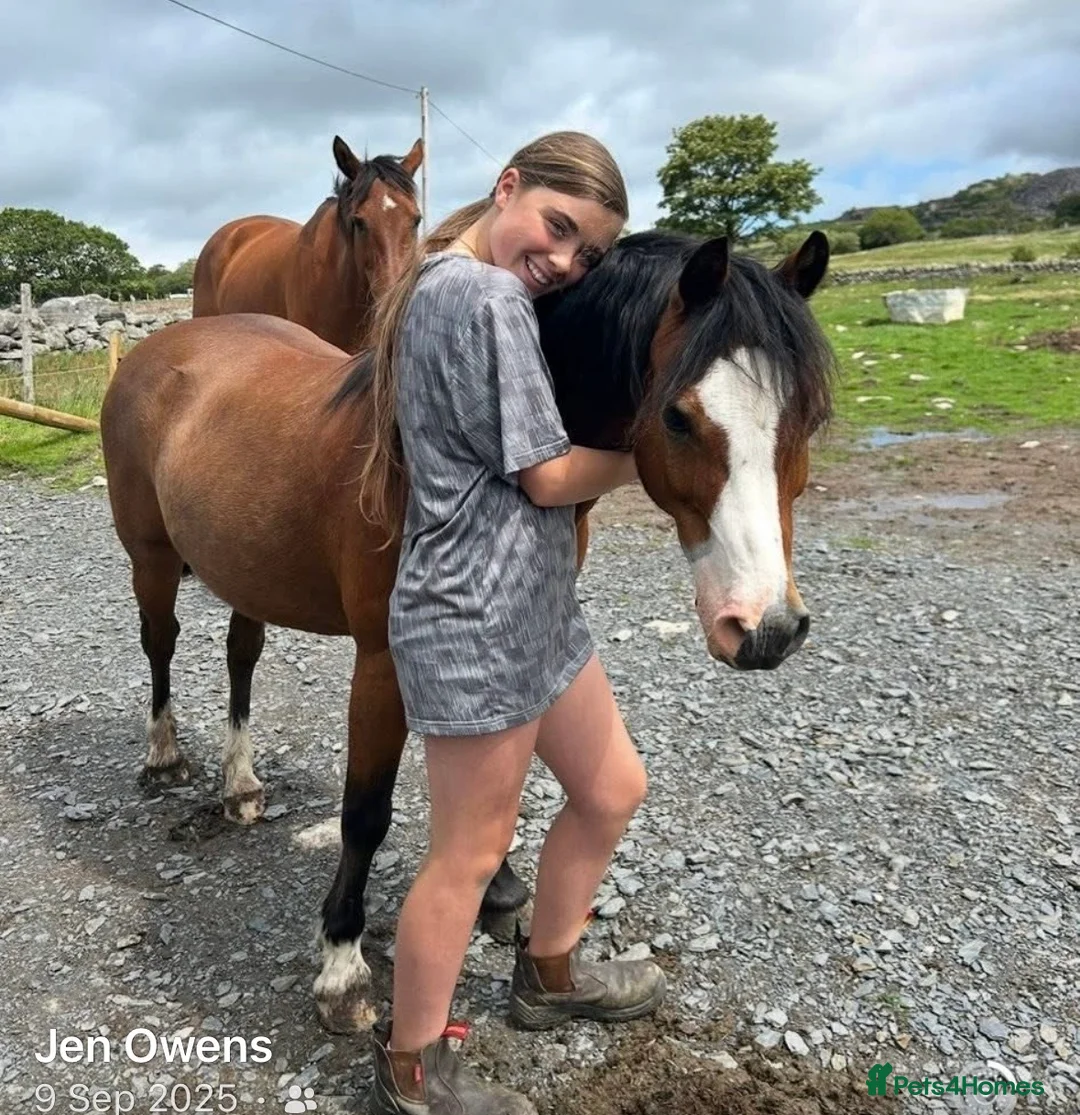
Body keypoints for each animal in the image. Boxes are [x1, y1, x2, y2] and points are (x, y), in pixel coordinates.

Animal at [99, 229, 834, 1032]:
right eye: (678, 417)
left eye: (812, 417)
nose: (767, 627)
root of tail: (156, 348)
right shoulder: (384, 662)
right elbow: (366, 813)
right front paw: (342, 964)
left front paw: (503, 893)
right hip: (152, 559)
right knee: (160, 642)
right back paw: (165, 756)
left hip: (246, 571)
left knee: (241, 655)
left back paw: (241, 784)